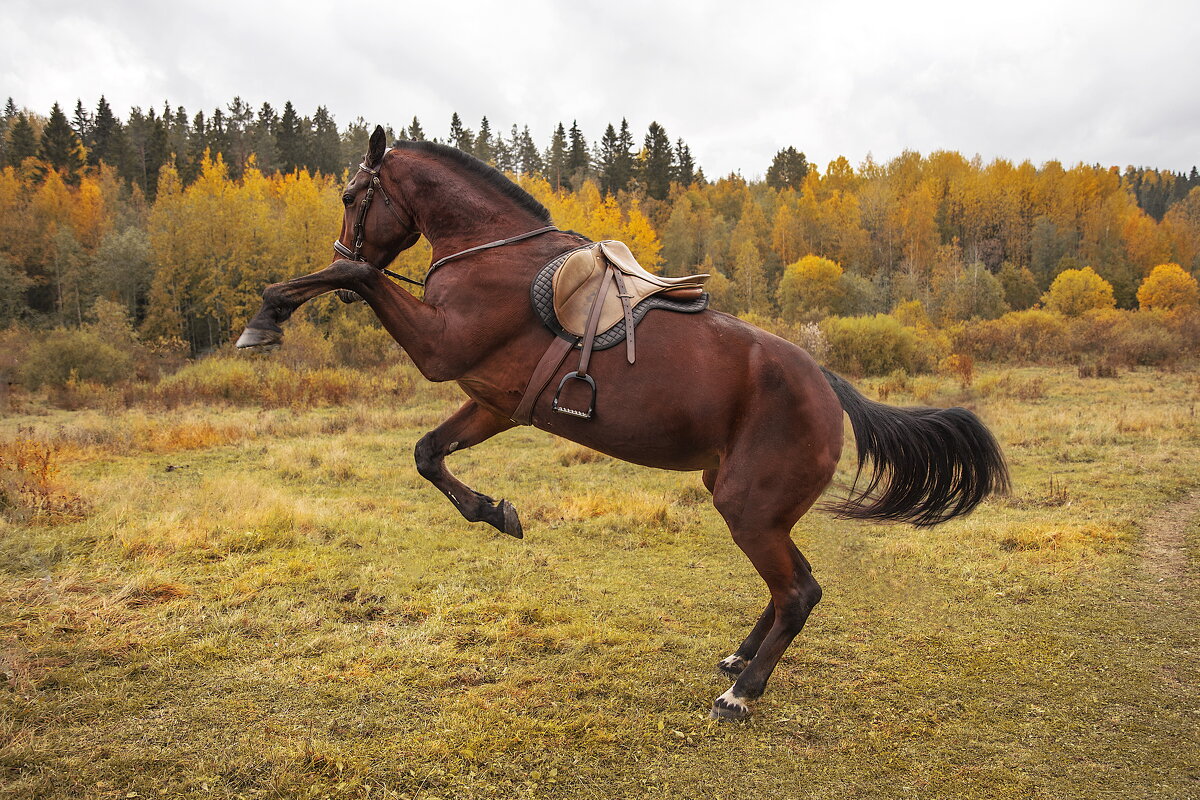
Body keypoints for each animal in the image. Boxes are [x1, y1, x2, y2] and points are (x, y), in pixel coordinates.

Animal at [234, 125, 1003, 719]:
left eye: (350, 197)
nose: (343, 243)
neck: (492, 253)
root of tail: (828, 385)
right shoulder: (492, 401)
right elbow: (428, 453)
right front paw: (498, 513)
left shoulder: (439, 347)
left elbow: (360, 280)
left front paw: (267, 315)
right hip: (753, 504)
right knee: (791, 585)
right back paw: (739, 661)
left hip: (750, 509)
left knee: (799, 591)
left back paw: (743, 693)